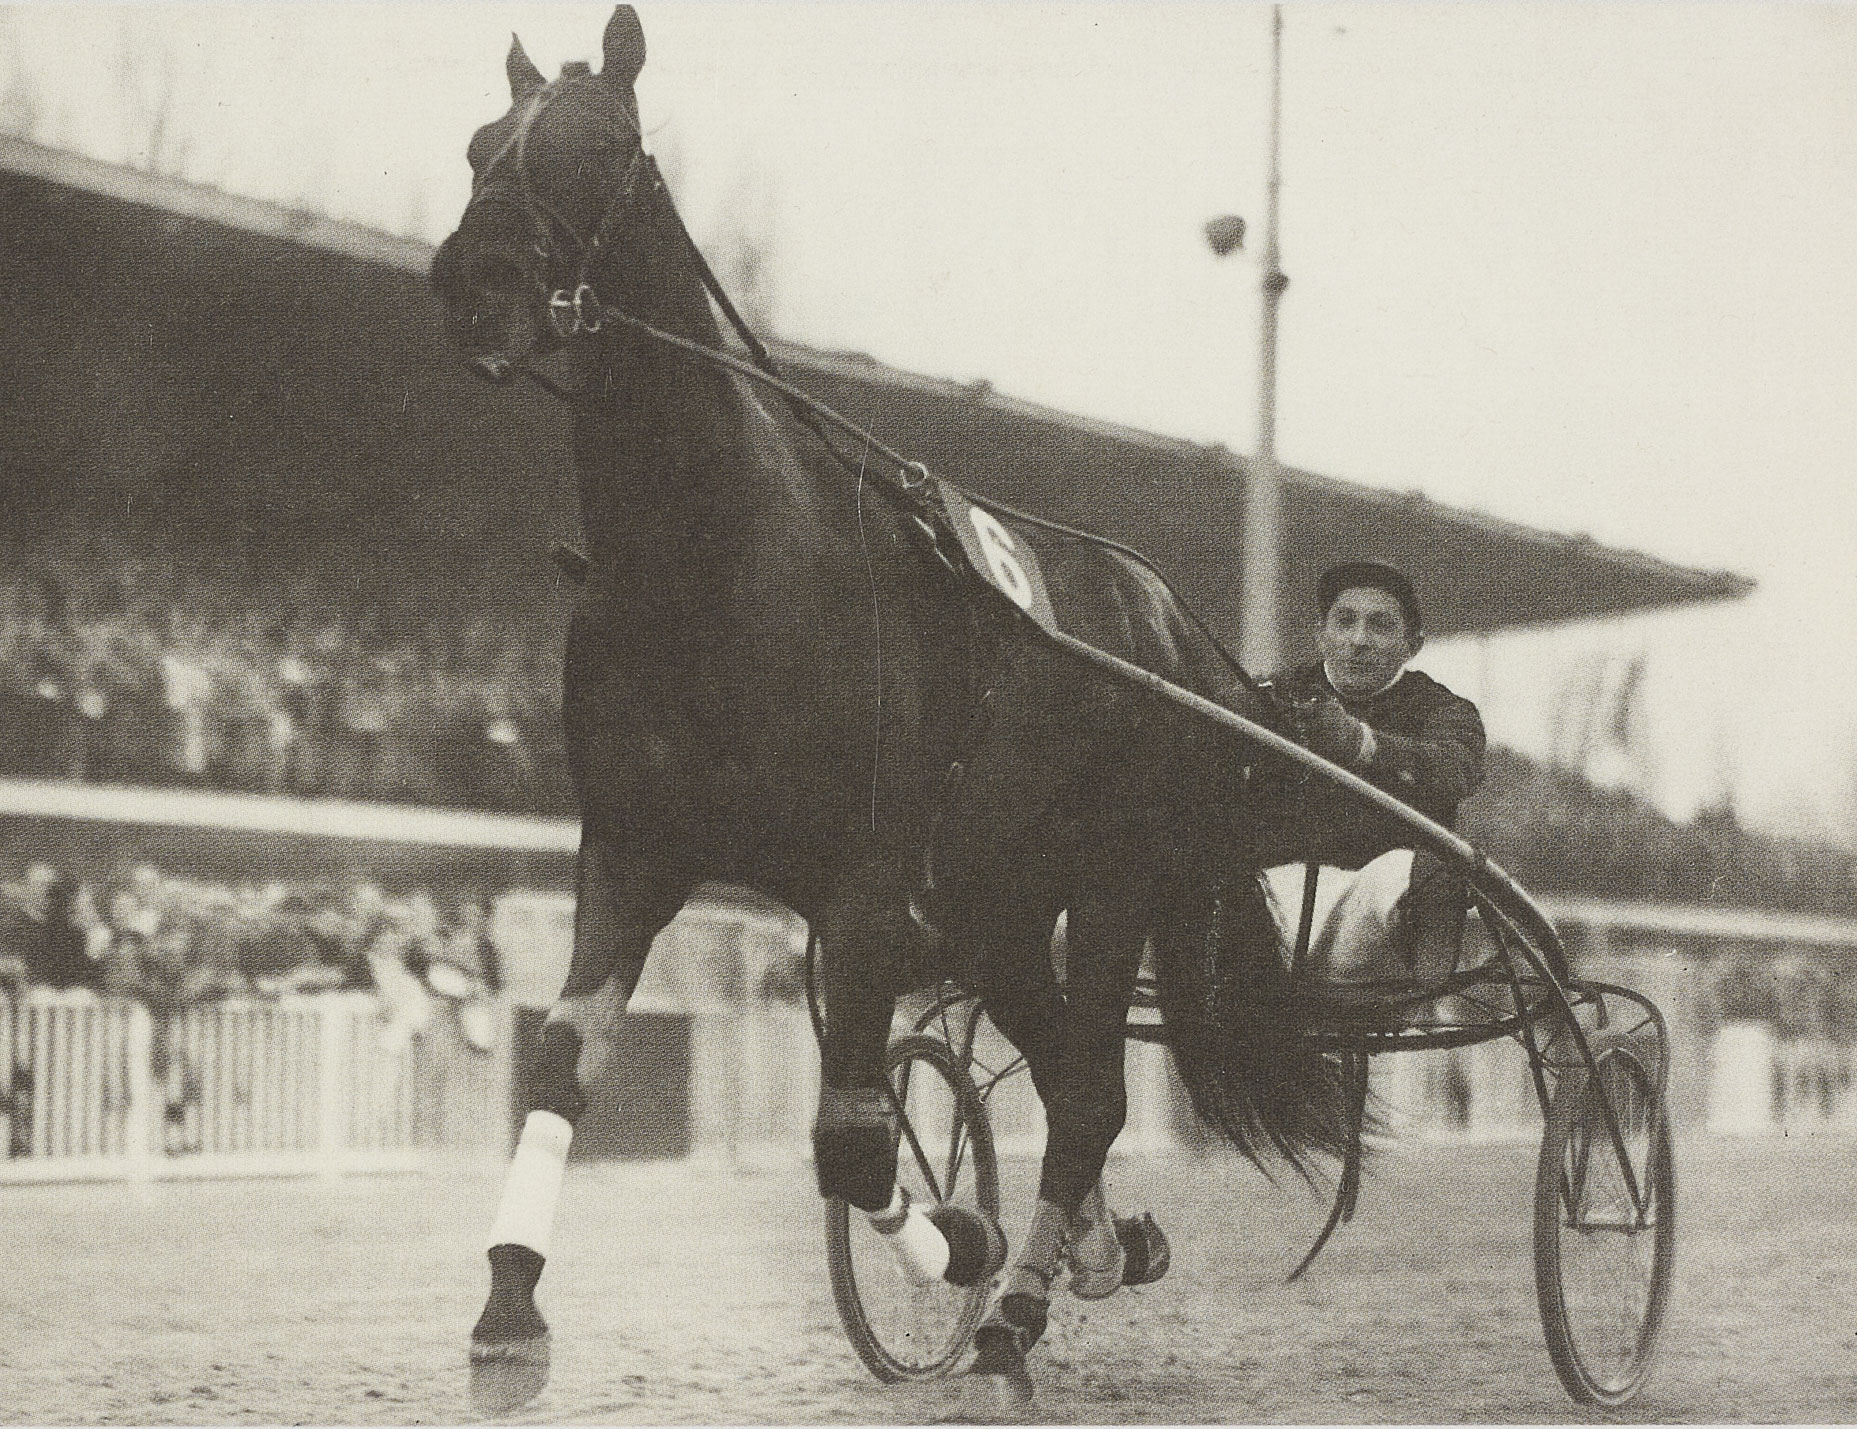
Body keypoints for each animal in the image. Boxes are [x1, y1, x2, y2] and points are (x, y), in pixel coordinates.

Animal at [427, 8, 1344, 1410]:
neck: (719, 557)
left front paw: (959, 1239)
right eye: (482, 145)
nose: (475, 280)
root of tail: (1171, 624)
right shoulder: (635, 847)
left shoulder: (863, 889)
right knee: (1076, 1077)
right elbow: (565, 1062)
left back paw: (1014, 1316)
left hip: (1112, 880)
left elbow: (853, 1146)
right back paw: (1091, 1245)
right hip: (1000, 903)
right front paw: (510, 1307)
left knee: (1087, 1089)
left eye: (599, 149)